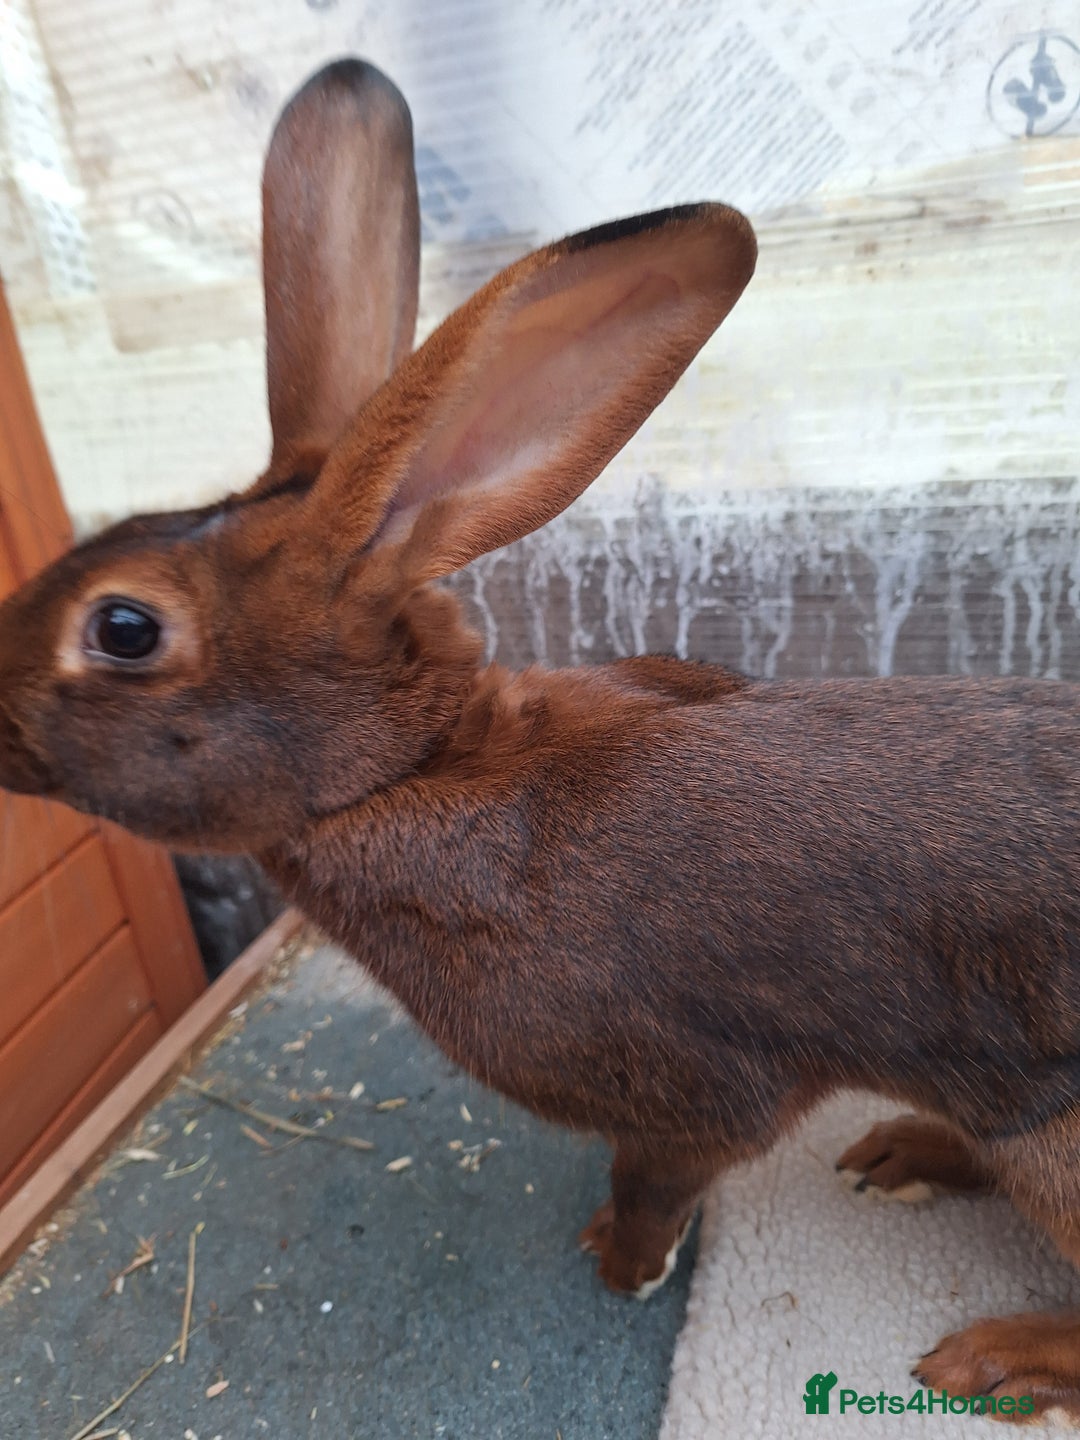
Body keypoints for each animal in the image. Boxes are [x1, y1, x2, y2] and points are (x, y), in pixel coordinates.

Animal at [4, 57, 1080, 1420]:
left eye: (124, 628)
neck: (407, 769)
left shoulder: (687, 1102)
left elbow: (656, 1181)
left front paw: (620, 1264)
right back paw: (901, 1151)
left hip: (1060, 1143)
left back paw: (990, 1351)